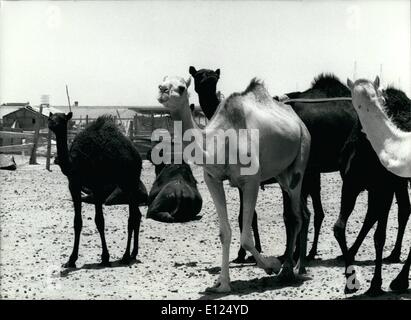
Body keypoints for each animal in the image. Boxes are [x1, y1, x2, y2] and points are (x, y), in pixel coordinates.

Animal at [47, 112, 147, 268]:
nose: (52, 124)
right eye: (50, 118)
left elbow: (99, 221)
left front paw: (105, 257)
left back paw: (125, 256)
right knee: (137, 215)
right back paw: (132, 253)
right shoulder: (74, 185)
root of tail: (137, 156)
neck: (75, 164)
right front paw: (71, 260)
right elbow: (77, 222)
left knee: (132, 217)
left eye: (62, 119)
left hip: (130, 181)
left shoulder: (97, 187)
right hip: (127, 185)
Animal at [158, 75, 312, 292]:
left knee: (296, 215)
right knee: (301, 213)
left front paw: (272, 265)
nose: (162, 91)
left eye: (181, 88)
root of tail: (299, 123)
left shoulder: (252, 181)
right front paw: (222, 284)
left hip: (301, 157)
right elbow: (225, 233)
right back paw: (298, 266)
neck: (218, 143)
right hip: (282, 174)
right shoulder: (212, 180)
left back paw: (292, 269)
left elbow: (246, 237)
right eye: (160, 83)